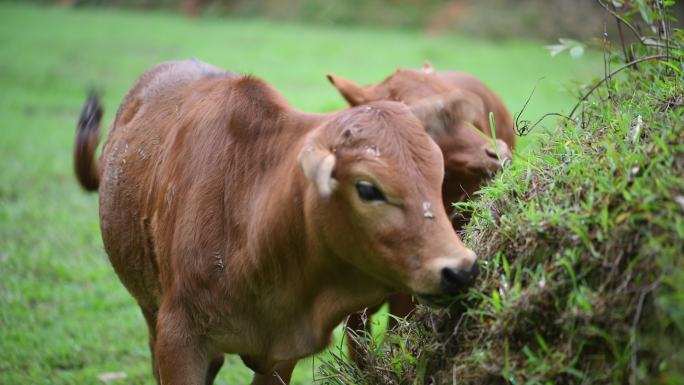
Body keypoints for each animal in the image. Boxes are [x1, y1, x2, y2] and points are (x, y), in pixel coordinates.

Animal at [71, 60, 476, 384]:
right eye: (367, 188)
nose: (461, 270)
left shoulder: (283, 354)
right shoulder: (178, 340)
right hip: (149, 307)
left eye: (437, 175)